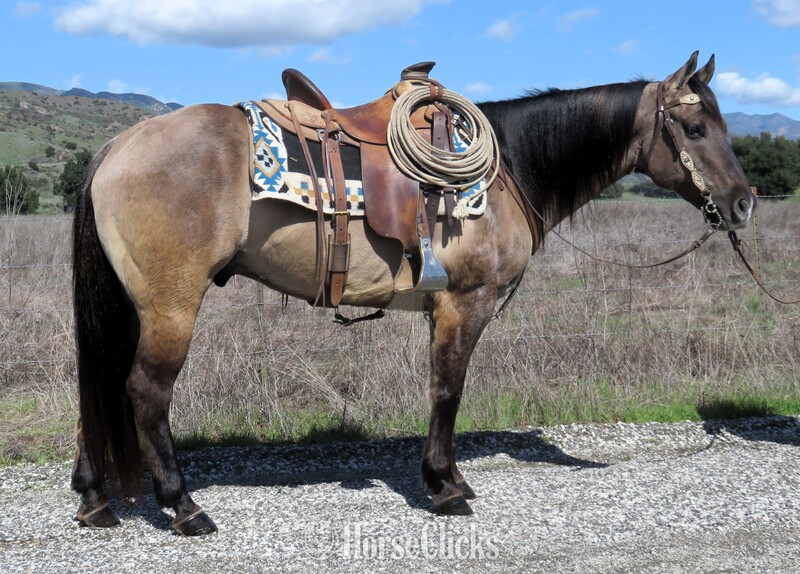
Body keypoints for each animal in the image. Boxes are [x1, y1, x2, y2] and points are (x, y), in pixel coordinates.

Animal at [70, 52, 754, 535]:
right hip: (170, 306)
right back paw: (184, 507)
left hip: (133, 307)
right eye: (695, 127)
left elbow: (441, 388)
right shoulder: (465, 303)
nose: (744, 203)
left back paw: (95, 499)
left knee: (101, 384)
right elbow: (448, 390)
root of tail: (118, 146)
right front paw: (446, 486)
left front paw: (447, 478)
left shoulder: (440, 309)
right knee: (145, 392)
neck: (510, 169)